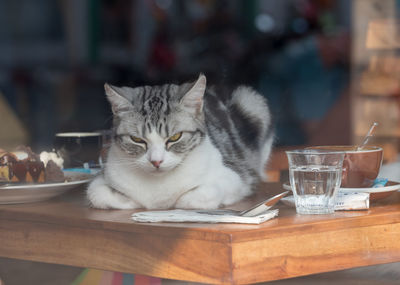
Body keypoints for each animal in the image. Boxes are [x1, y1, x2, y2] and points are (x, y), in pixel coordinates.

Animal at [86, 74, 276, 210]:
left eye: (175, 137)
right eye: (137, 139)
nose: (156, 161)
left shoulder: (238, 177)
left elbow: (201, 195)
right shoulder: (102, 179)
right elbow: (97, 194)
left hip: (252, 103)